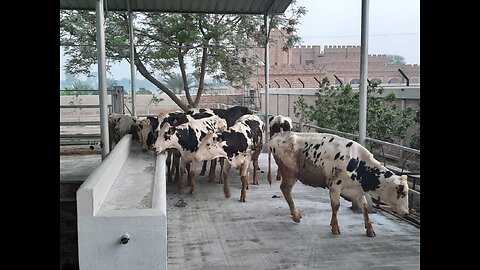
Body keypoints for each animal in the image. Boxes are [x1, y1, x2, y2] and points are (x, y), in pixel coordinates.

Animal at [266, 132, 408, 237]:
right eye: (402, 192)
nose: (407, 213)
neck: (359, 164)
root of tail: (278, 136)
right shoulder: (335, 186)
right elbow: (336, 206)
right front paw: (335, 227)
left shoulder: (357, 190)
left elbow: (364, 207)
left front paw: (369, 229)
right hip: (289, 173)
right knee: (285, 190)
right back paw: (295, 216)